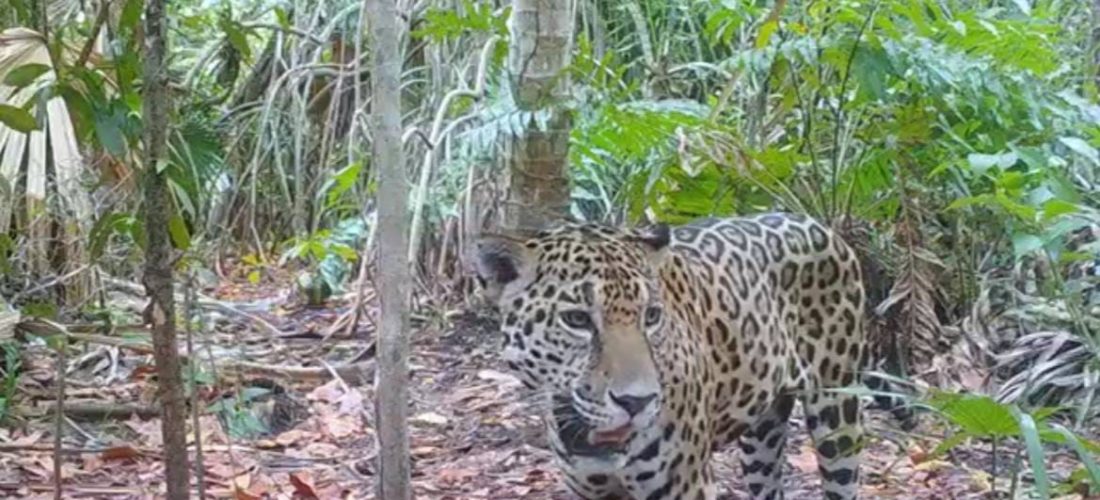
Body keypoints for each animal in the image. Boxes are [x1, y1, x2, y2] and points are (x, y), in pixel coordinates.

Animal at [474, 213, 867, 500]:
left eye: (651, 316)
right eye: (577, 319)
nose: (637, 402)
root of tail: (817, 224)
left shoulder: (685, 486)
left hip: (837, 412)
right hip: (762, 431)